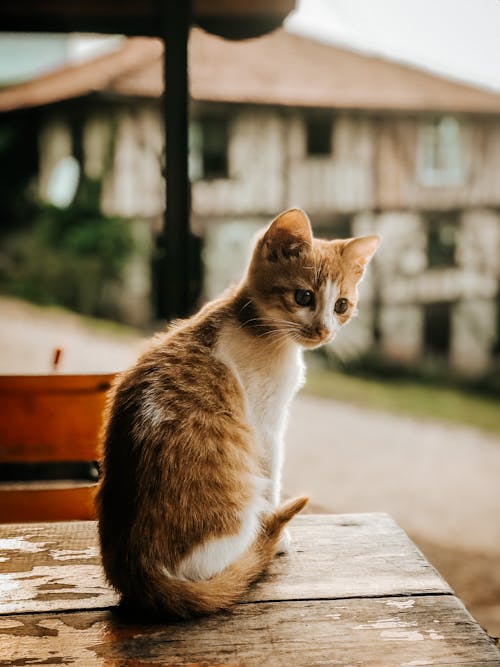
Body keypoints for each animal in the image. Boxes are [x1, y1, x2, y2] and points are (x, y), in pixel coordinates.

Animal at [96, 209, 378, 620]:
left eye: (341, 305)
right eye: (304, 296)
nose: (324, 330)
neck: (259, 328)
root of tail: (138, 569)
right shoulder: (266, 426)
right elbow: (273, 477)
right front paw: (279, 534)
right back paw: (259, 545)